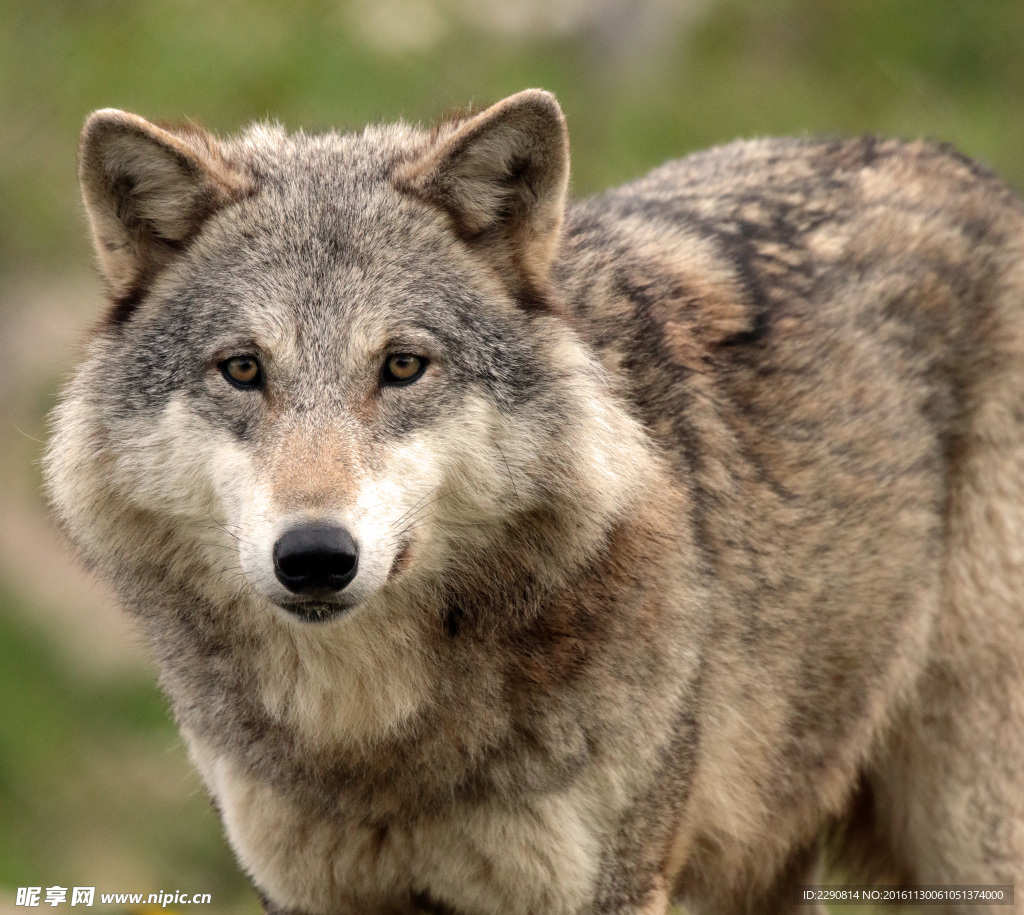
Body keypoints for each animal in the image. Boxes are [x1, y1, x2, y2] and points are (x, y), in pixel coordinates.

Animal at [46, 88, 1024, 915]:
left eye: (403, 365)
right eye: (243, 369)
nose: (316, 556)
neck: (373, 744)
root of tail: (968, 166)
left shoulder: (608, 885)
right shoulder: (301, 891)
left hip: (967, 832)